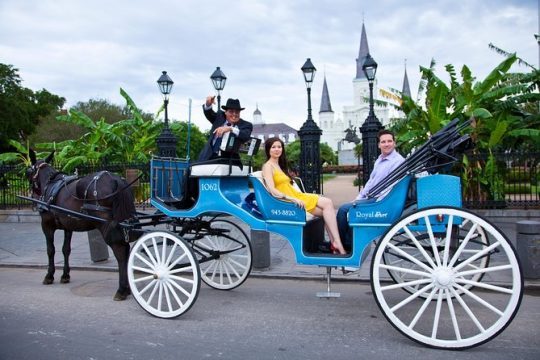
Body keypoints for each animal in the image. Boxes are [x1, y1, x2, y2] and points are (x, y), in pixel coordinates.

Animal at [27, 151, 137, 300]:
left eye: (28, 171)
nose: (33, 194)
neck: (50, 184)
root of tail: (116, 180)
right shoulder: (68, 226)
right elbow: (66, 249)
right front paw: (65, 275)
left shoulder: (46, 225)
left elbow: (51, 250)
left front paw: (49, 275)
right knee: (125, 251)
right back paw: (127, 287)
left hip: (107, 225)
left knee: (120, 253)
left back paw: (121, 290)